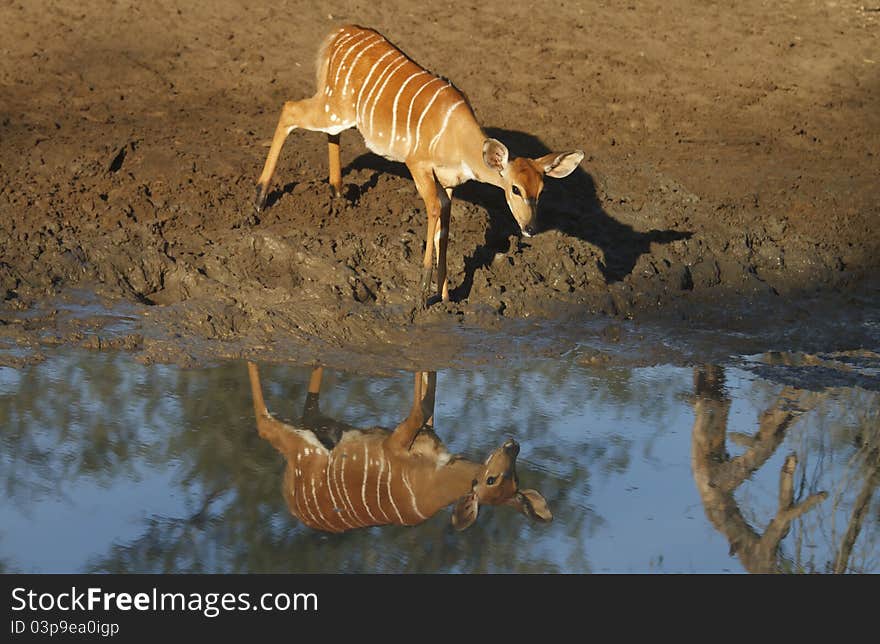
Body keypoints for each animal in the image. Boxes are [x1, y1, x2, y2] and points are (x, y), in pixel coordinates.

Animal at [248, 362, 552, 532]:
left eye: (514, 479)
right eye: (493, 478)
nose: (513, 445)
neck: (434, 478)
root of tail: (292, 502)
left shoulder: (402, 439)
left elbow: (424, 401)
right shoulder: (398, 441)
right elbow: (425, 398)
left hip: (315, 434)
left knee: (286, 416)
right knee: (268, 422)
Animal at [253, 24, 584, 304]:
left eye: (541, 190)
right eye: (514, 189)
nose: (530, 228)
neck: (458, 137)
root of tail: (337, 33)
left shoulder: (449, 184)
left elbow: (445, 229)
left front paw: (446, 296)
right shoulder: (418, 165)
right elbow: (433, 211)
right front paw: (424, 292)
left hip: (337, 110)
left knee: (328, 131)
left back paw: (336, 192)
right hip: (334, 105)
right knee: (289, 109)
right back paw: (259, 199)